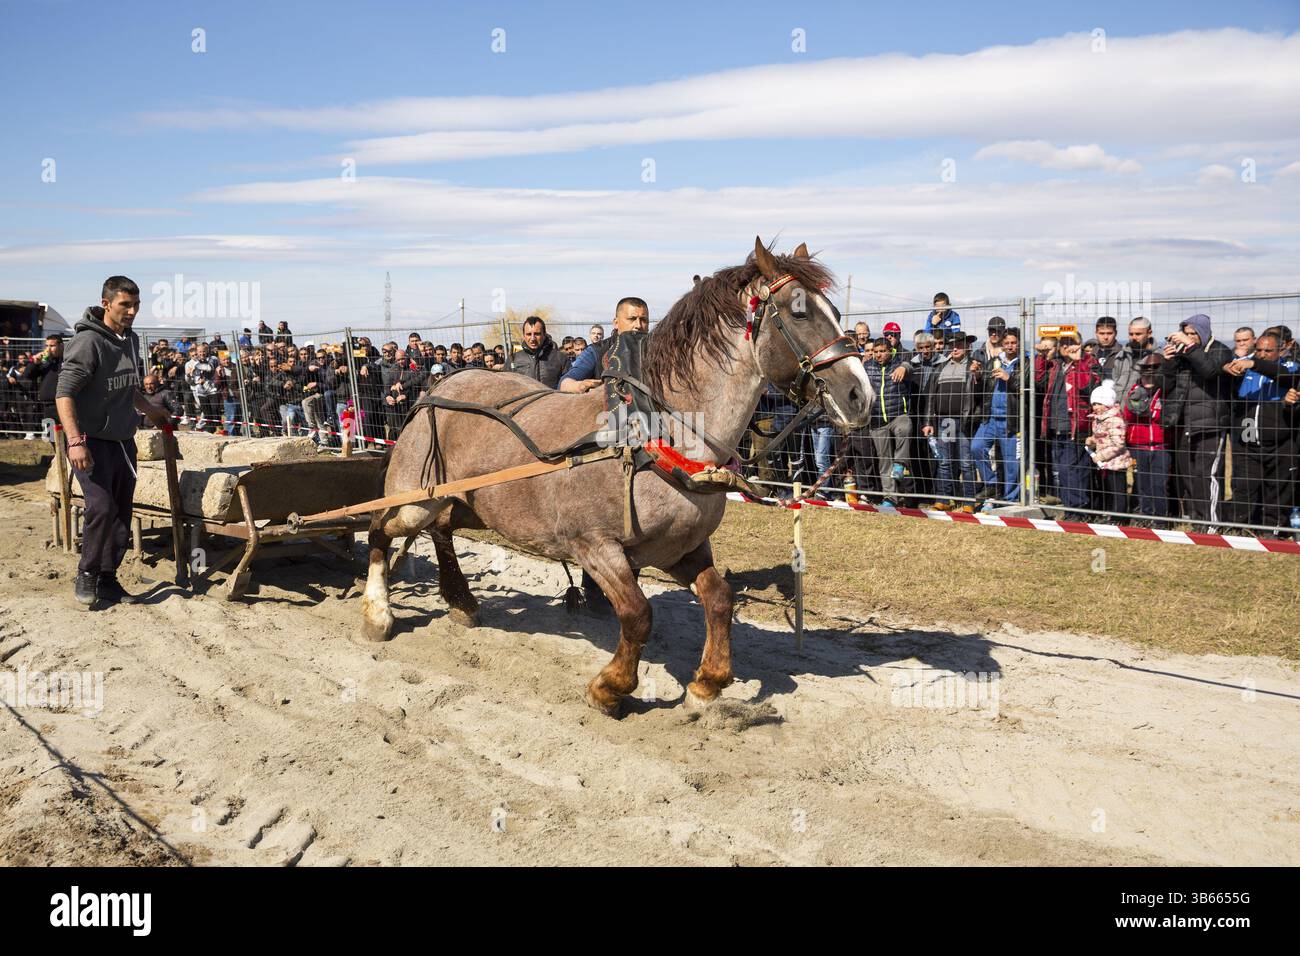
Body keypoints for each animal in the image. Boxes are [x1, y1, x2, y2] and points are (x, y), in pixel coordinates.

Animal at [359, 237, 874, 716]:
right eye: (799, 312)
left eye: (836, 311)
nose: (861, 395)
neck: (653, 435)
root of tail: (441, 384)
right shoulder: (595, 546)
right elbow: (638, 614)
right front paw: (611, 687)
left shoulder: (681, 547)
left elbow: (719, 598)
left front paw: (707, 682)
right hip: (415, 497)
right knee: (381, 529)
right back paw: (378, 613)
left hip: (470, 503)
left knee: (443, 530)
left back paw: (461, 602)